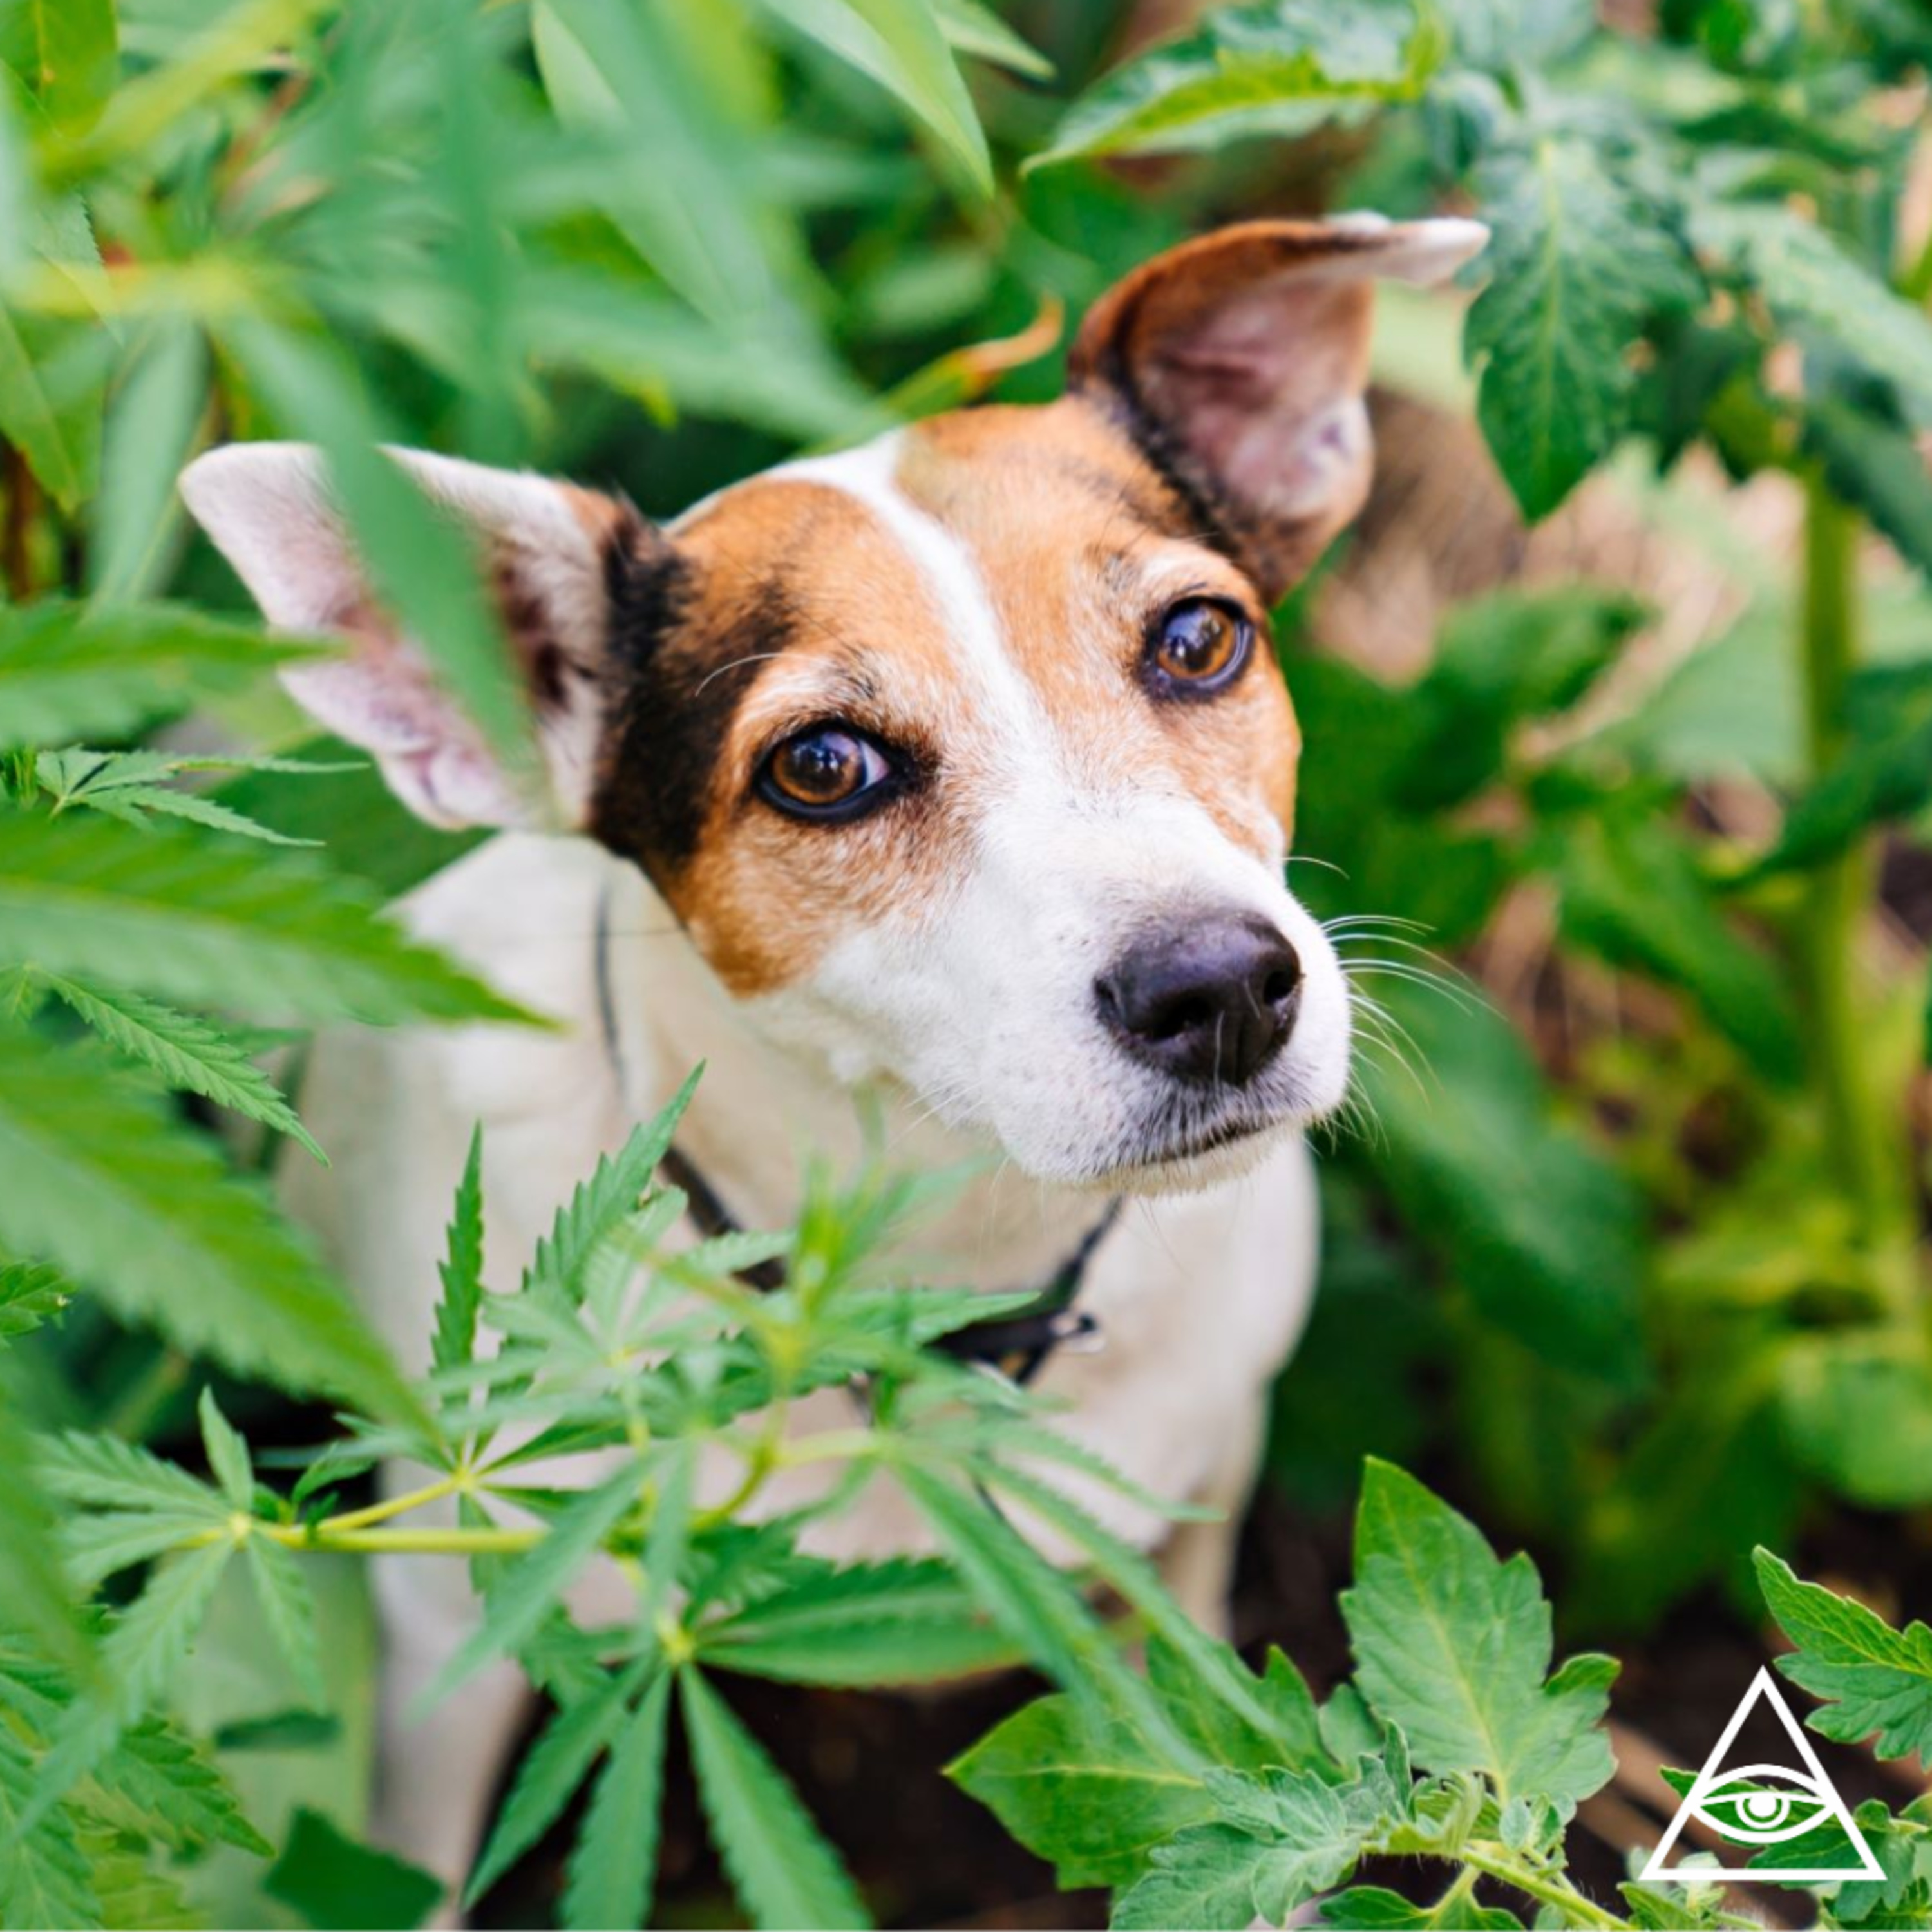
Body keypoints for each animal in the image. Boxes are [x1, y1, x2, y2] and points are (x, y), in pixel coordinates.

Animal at [179, 212, 1486, 1887]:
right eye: (821, 767)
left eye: (1200, 638)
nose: (1223, 988)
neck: (937, 1285)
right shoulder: (443, 1636)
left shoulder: (1205, 1479)